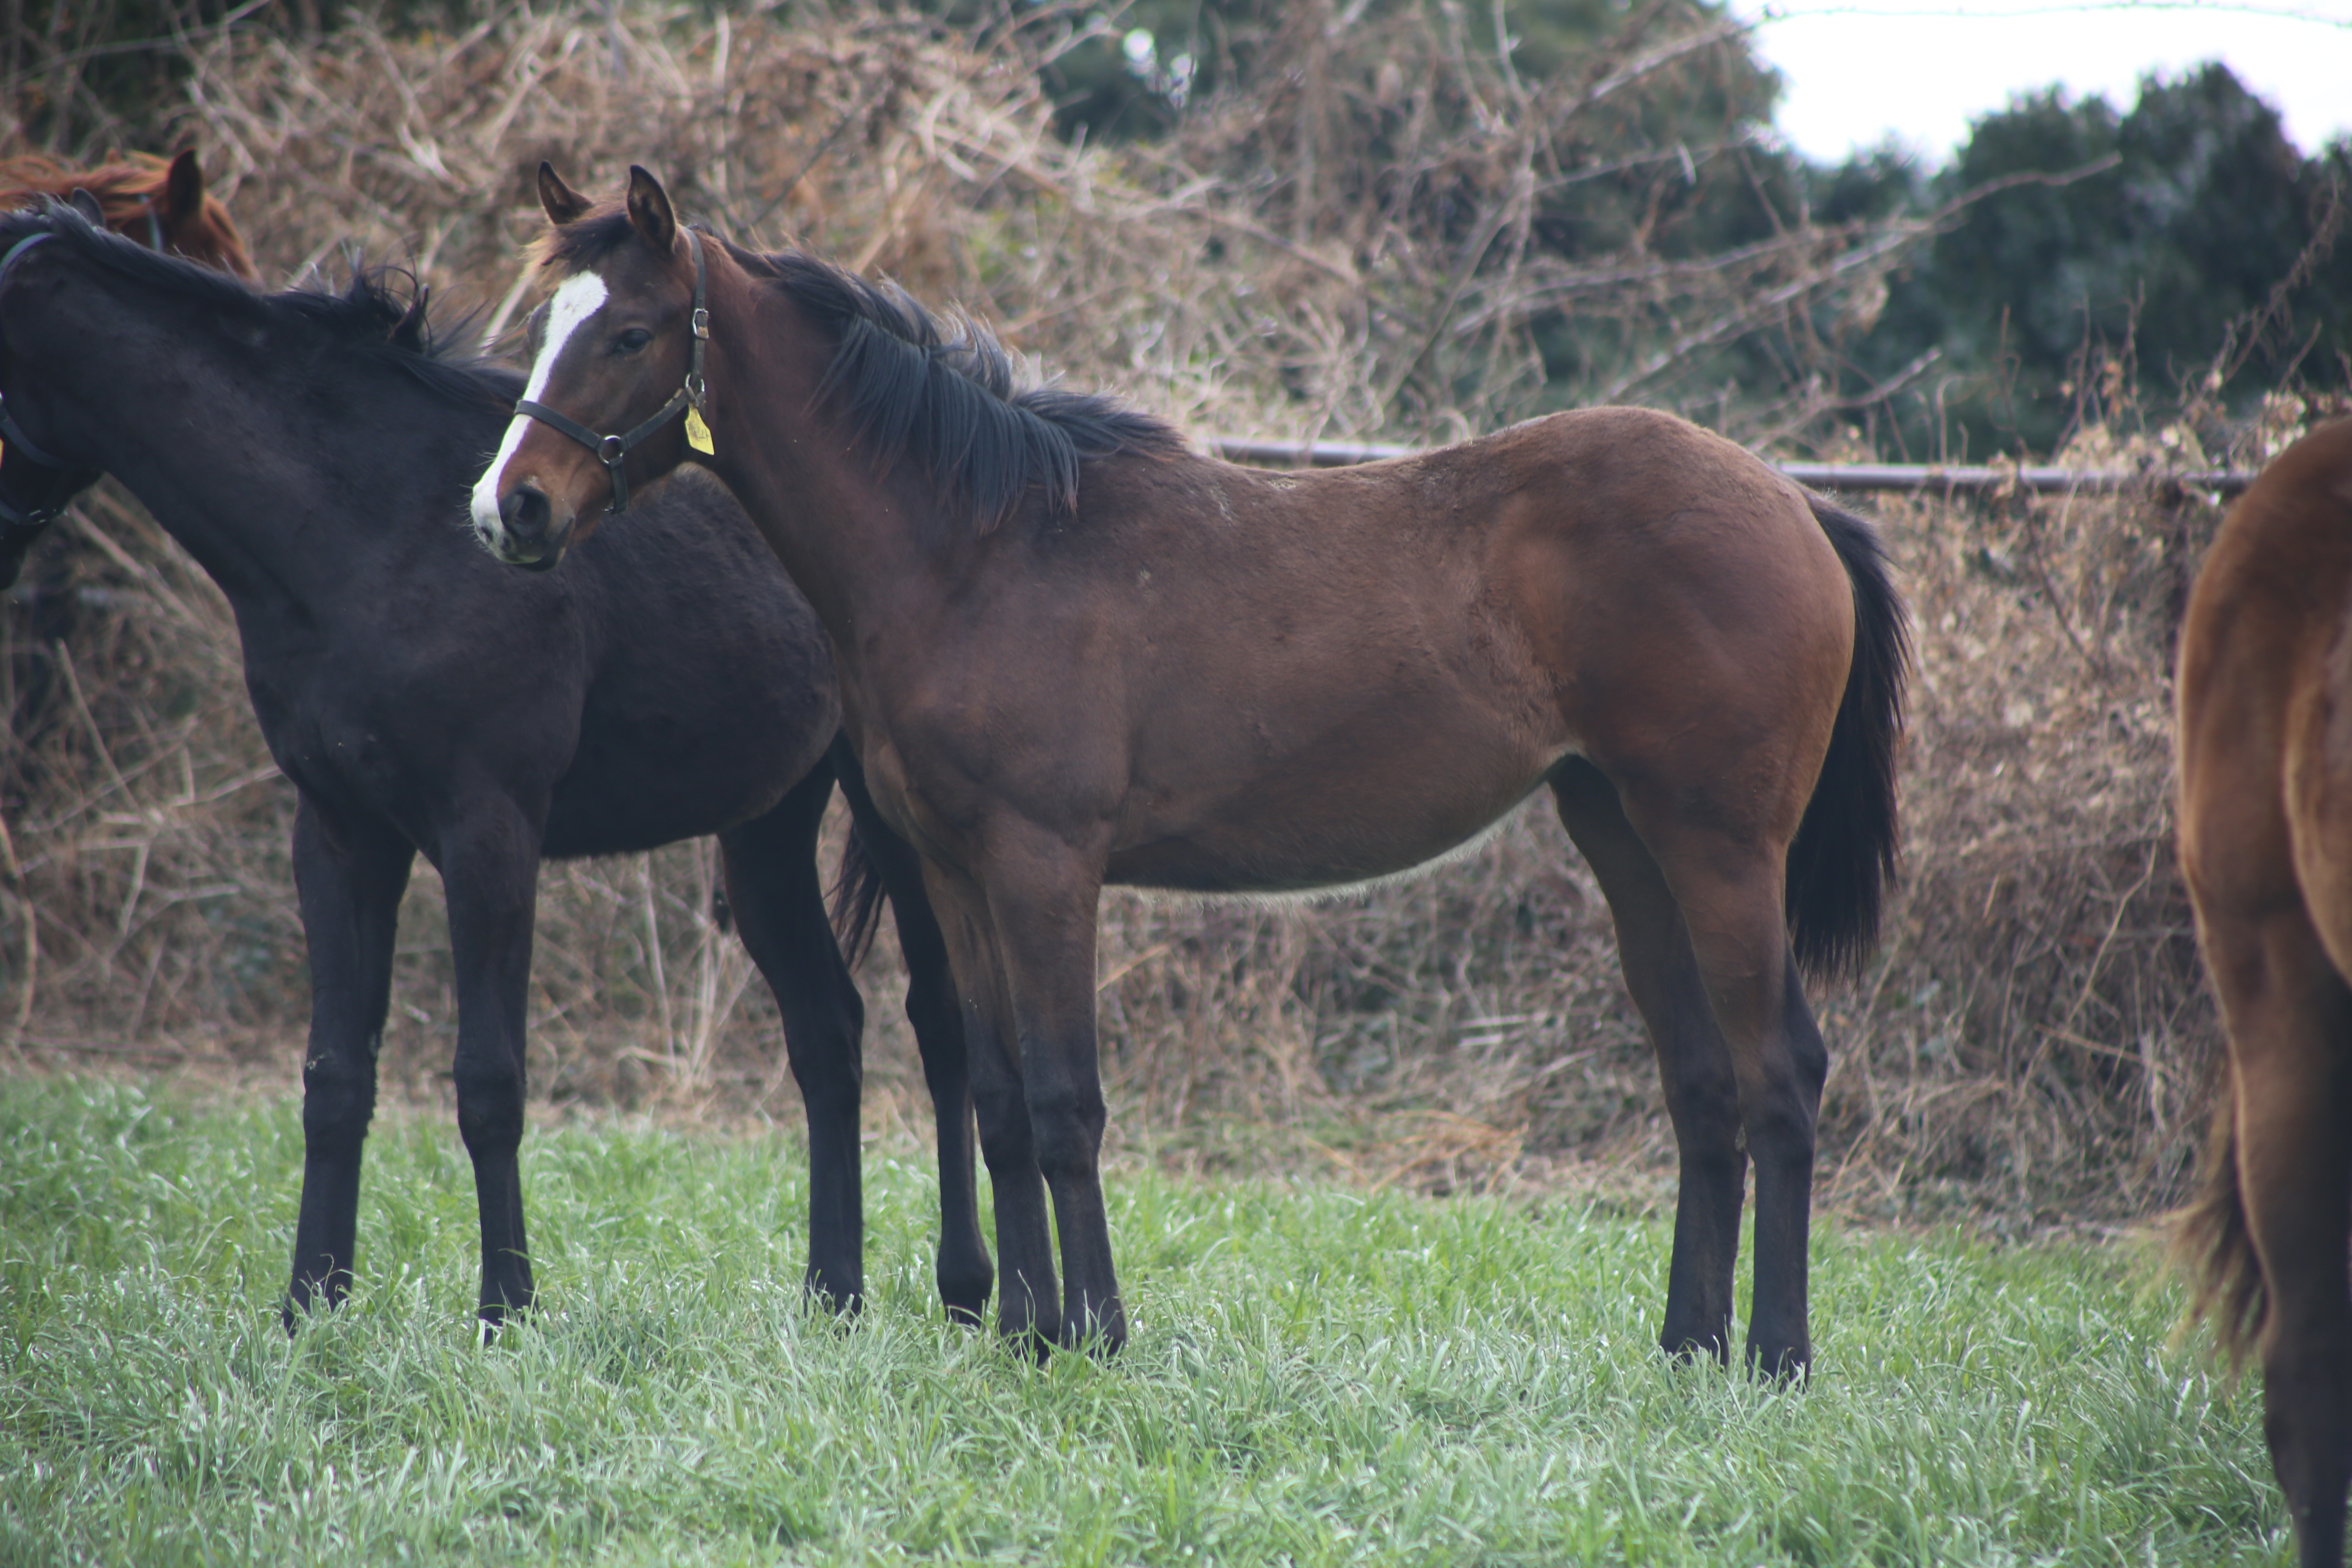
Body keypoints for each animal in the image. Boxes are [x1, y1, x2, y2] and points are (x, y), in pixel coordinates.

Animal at [0, 193, 992, 1326]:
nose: (507, 518)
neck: (371, 529)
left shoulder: (489, 831)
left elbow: (488, 1082)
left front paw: (505, 1310)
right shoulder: (338, 832)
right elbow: (335, 1077)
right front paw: (310, 1307)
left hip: (889, 817)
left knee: (939, 1026)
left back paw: (966, 1292)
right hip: (767, 825)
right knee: (829, 1033)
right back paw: (832, 1298)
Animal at [468, 165, 1900, 1382]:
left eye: (631, 332)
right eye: (547, 323)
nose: (508, 509)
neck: (979, 545)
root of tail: (1795, 501)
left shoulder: (1046, 866)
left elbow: (1065, 1101)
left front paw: (1094, 1334)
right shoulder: (957, 871)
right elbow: (998, 1099)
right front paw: (1027, 1331)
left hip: (1721, 847)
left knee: (1781, 1072)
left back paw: (1777, 1357)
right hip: (1626, 836)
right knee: (1702, 1083)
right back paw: (1687, 1348)